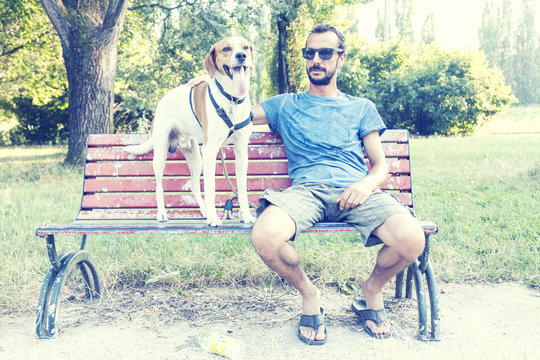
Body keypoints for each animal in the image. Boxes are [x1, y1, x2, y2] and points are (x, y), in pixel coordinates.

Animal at [124, 37, 255, 228]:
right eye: (226, 49)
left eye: (245, 47)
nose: (241, 55)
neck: (231, 99)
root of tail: (161, 101)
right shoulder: (210, 150)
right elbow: (211, 188)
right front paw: (213, 218)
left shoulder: (241, 151)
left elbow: (242, 189)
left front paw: (246, 215)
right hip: (161, 154)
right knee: (158, 185)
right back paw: (162, 213)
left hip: (195, 156)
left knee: (193, 185)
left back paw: (205, 211)